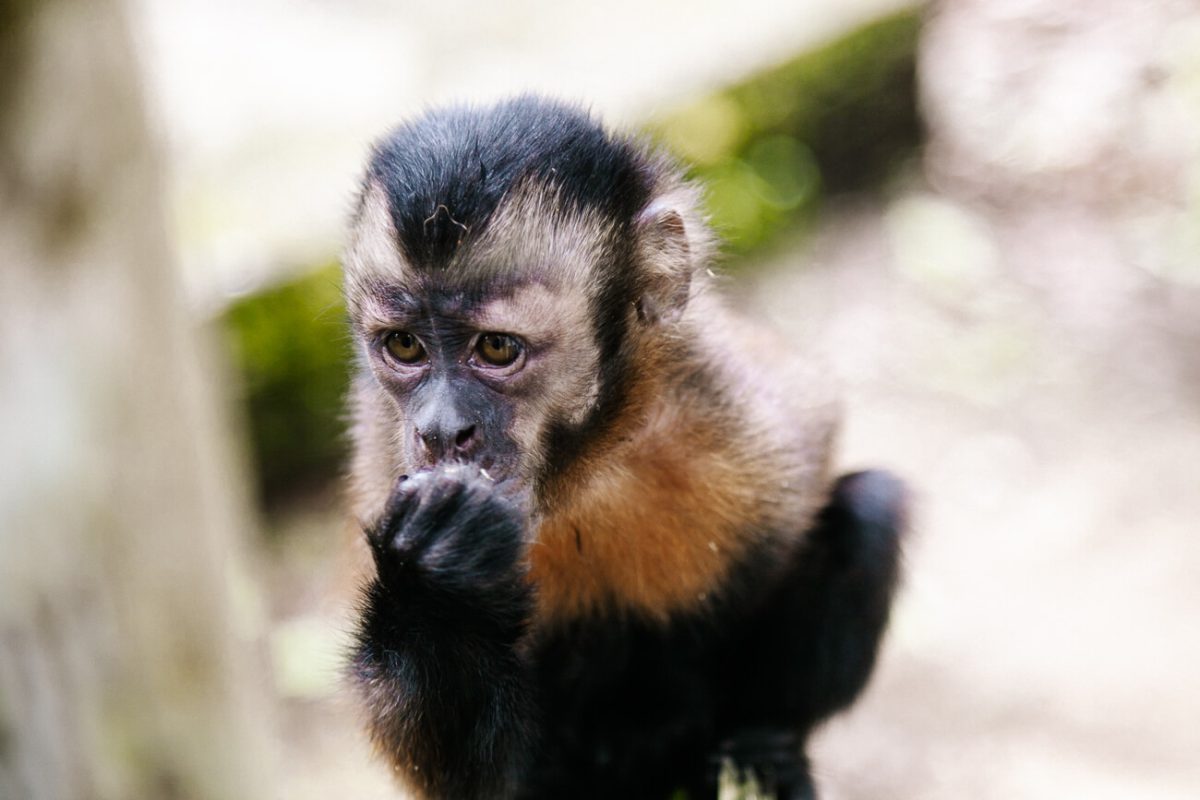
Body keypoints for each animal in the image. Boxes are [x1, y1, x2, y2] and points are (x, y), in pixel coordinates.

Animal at [343, 95, 902, 800]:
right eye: (405, 346)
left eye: (495, 348)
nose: (442, 430)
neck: (579, 471)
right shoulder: (380, 447)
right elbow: (476, 783)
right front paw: (440, 588)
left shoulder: (721, 403)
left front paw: (764, 744)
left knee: (869, 508)